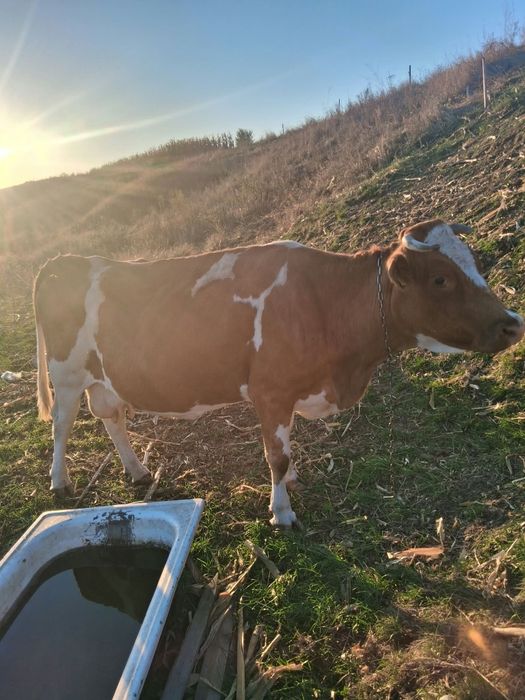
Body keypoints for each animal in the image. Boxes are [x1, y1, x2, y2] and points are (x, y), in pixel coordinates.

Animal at [34, 219, 524, 526]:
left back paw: (137, 472)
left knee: (111, 418)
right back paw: (60, 483)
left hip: (102, 375)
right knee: (62, 424)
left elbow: (287, 449)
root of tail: (63, 260)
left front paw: (289, 485)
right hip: (67, 372)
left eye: (475, 264)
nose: (512, 323)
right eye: (440, 279)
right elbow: (276, 455)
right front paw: (281, 511)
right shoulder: (270, 392)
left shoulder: (291, 394)